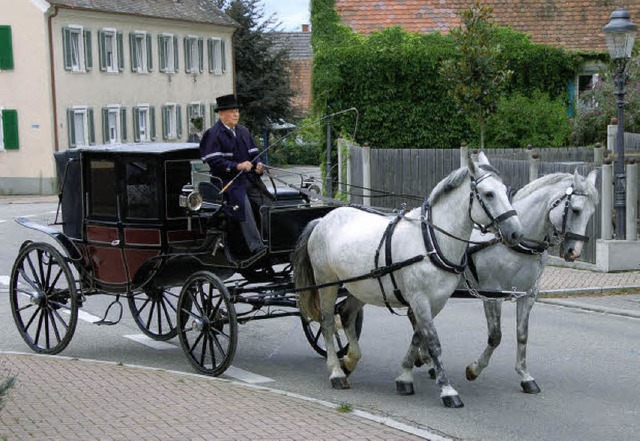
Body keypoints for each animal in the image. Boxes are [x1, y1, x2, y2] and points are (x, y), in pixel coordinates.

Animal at [292, 151, 524, 406]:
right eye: (489, 194)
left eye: (505, 190)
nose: (516, 233)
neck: (430, 241)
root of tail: (322, 219)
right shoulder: (420, 299)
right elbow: (432, 342)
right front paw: (447, 390)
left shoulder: (435, 302)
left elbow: (418, 337)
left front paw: (404, 377)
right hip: (327, 282)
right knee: (326, 322)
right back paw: (335, 371)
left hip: (361, 285)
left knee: (346, 315)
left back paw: (350, 361)